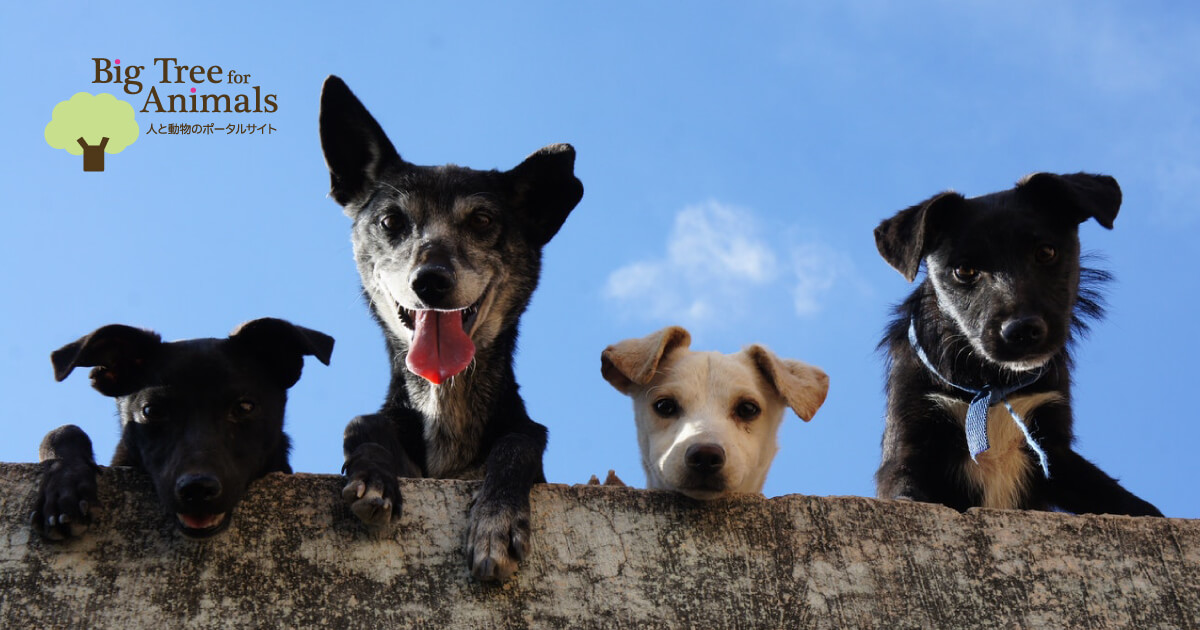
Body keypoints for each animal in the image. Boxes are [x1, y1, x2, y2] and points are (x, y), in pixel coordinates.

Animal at [316, 75, 583, 580]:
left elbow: (519, 442)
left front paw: (496, 522)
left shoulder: (523, 441)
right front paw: (373, 476)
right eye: (391, 221)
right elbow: (361, 422)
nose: (430, 281)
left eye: (482, 220)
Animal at [873, 171, 1161, 516]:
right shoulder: (909, 443)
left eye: (1046, 252)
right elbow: (906, 491)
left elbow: (1120, 498)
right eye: (964, 270)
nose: (1022, 330)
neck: (991, 385)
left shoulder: (1054, 448)